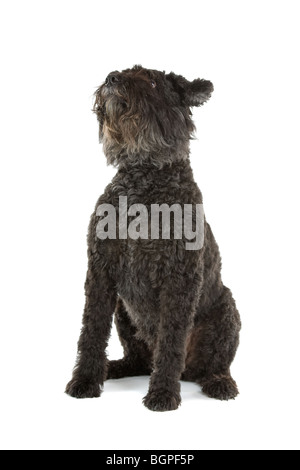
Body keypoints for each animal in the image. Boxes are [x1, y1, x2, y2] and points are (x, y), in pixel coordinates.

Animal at [65, 66, 241, 412]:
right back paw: (113, 367)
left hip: (227, 311)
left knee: (213, 364)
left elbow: (170, 342)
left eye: (152, 81)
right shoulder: (100, 272)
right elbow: (91, 330)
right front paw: (85, 380)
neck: (143, 180)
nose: (112, 77)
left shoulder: (180, 280)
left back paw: (220, 383)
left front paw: (162, 393)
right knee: (139, 359)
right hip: (124, 310)